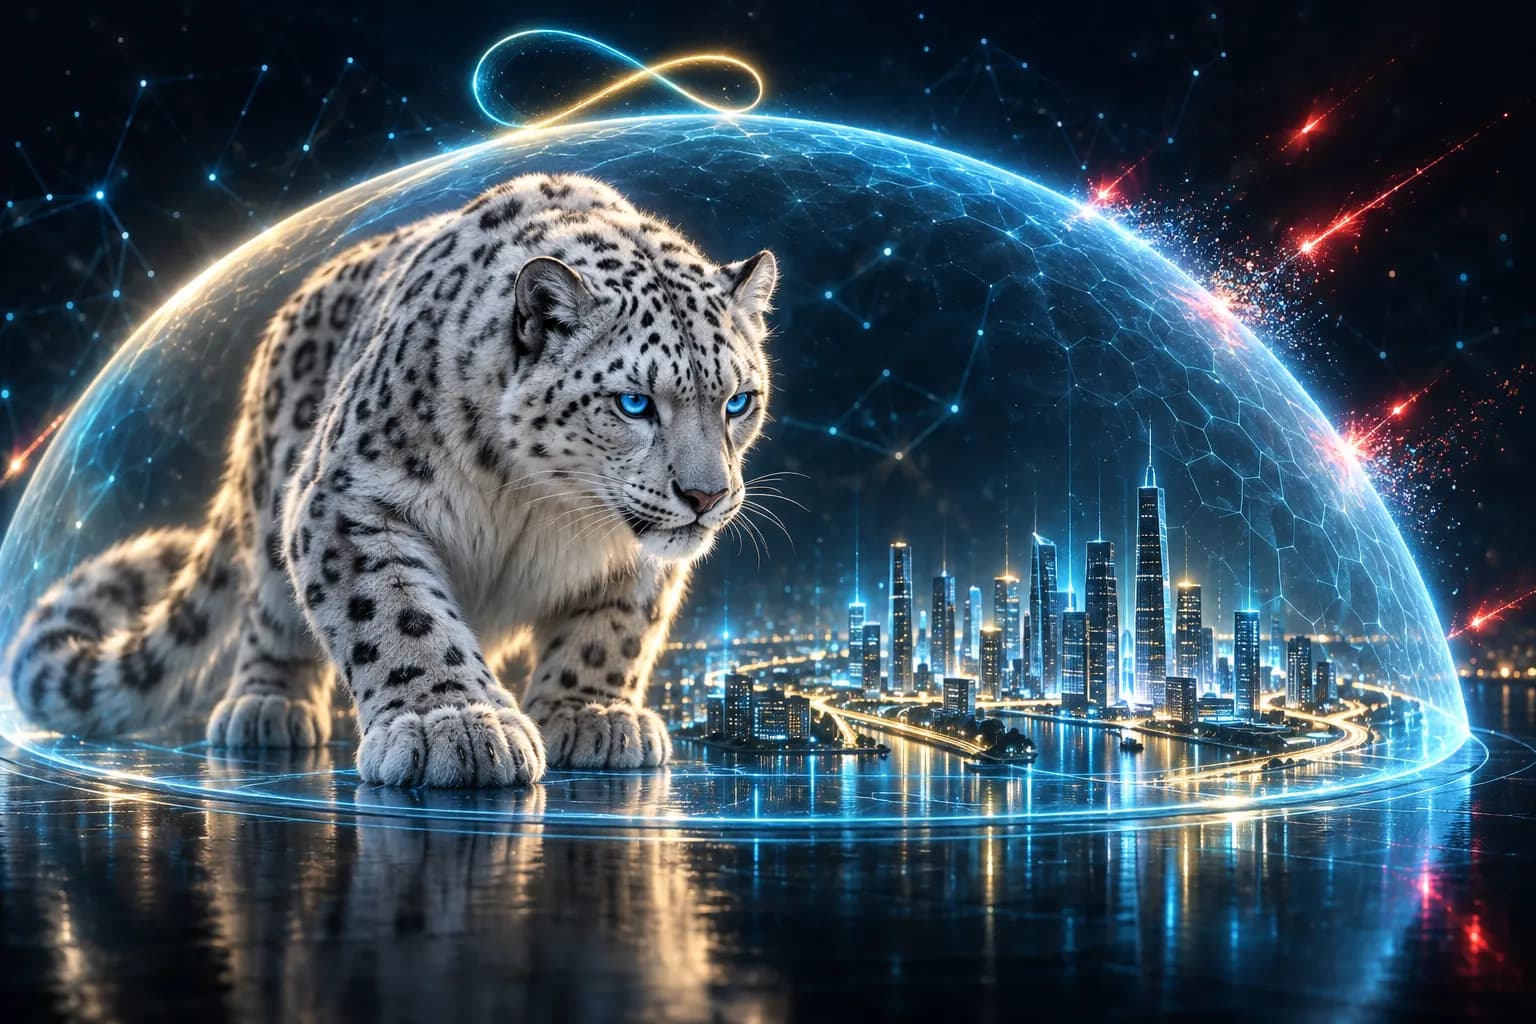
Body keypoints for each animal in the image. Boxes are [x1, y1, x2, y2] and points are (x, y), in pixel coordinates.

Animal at [4, 173, 777, 788]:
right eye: (634, 402)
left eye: (738, 401)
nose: (707, 496)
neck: (544, 505)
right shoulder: (351, 499)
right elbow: (398, 614)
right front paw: (456, 724)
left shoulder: (635, 560)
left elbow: (612, 630)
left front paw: (591, 715)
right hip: (276, 495)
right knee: (268, 613)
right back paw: (267, 706)